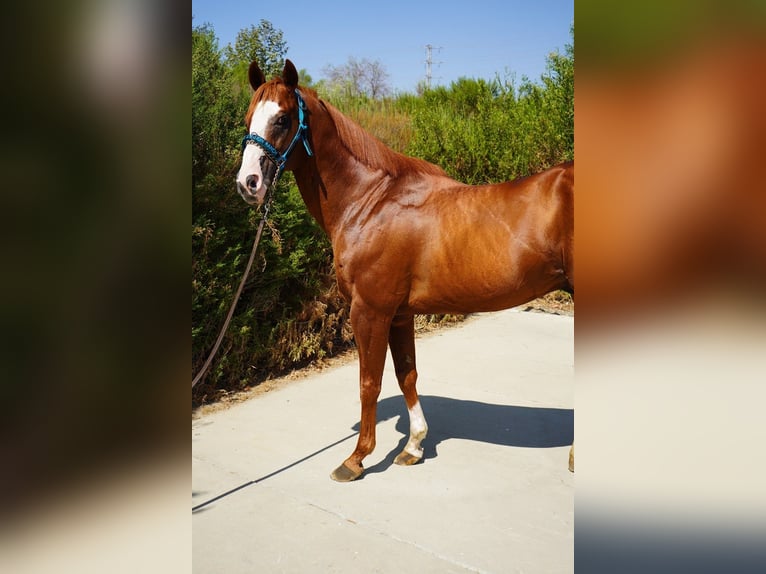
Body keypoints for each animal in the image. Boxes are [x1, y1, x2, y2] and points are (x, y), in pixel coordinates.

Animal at [236, 60, 574, 482]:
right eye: (248, 118)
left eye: (282, 119)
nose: (247, 183)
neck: (370, 201)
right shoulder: (399, 314)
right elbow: (406, 374)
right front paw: (413, 446)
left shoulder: (369, 311)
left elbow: (369, 382)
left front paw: (356, 458)